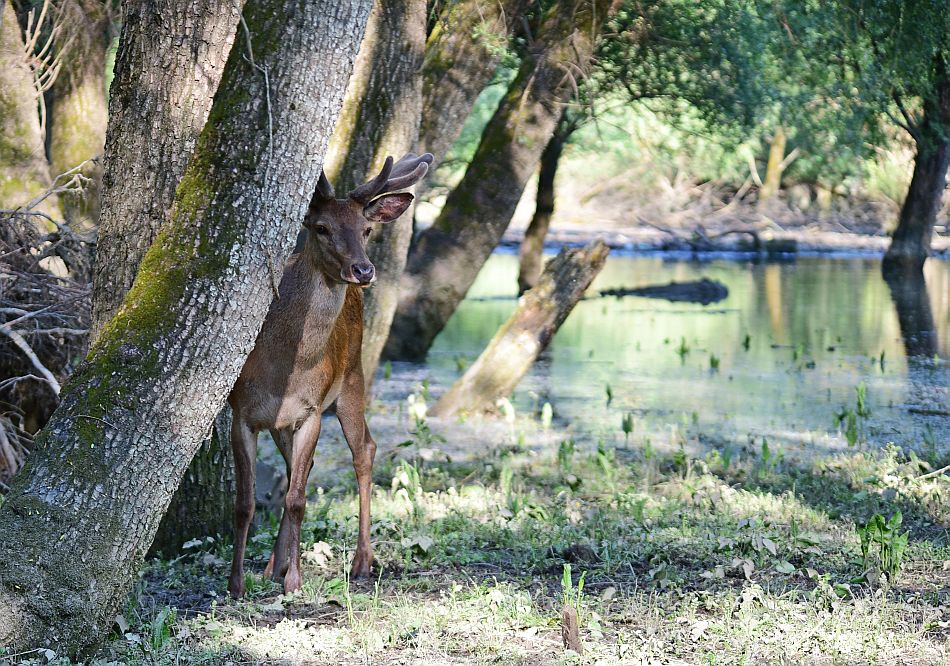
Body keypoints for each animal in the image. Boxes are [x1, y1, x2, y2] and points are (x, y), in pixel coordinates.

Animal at [225, 152, 434, 596]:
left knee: (365, 450)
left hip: (353, 378)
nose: (363, 270)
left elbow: (298, 499)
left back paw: (361, 562)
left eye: (366, 229)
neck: (283, 368)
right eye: (321, 228)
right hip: (289, 420)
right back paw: (272, 566)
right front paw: (238, 582)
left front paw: (295, 581)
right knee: (295, 471)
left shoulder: (312, 411)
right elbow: (246, 502)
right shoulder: (242, 413)